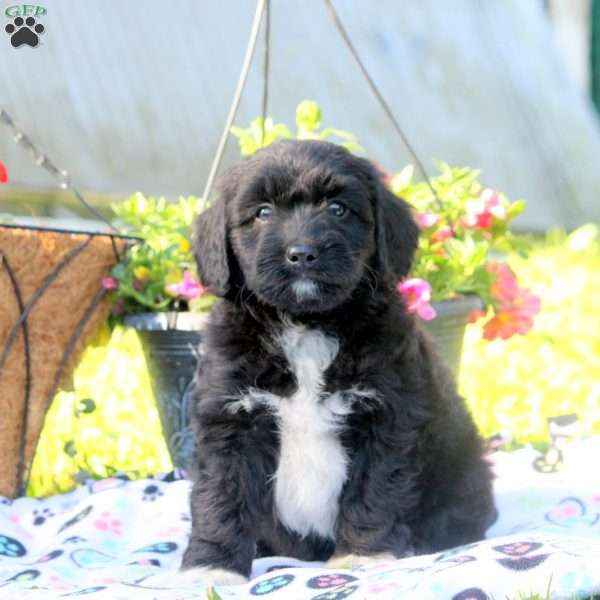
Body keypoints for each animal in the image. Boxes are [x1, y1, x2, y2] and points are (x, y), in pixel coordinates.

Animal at [182, 139, 496, 584]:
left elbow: (373, 489)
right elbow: (221, 496)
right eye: (262, 212)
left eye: (338, 209)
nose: (302, 254)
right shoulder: (230, 418)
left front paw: (363, 557)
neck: (307, 325)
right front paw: (212, 567)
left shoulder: (386, 415)